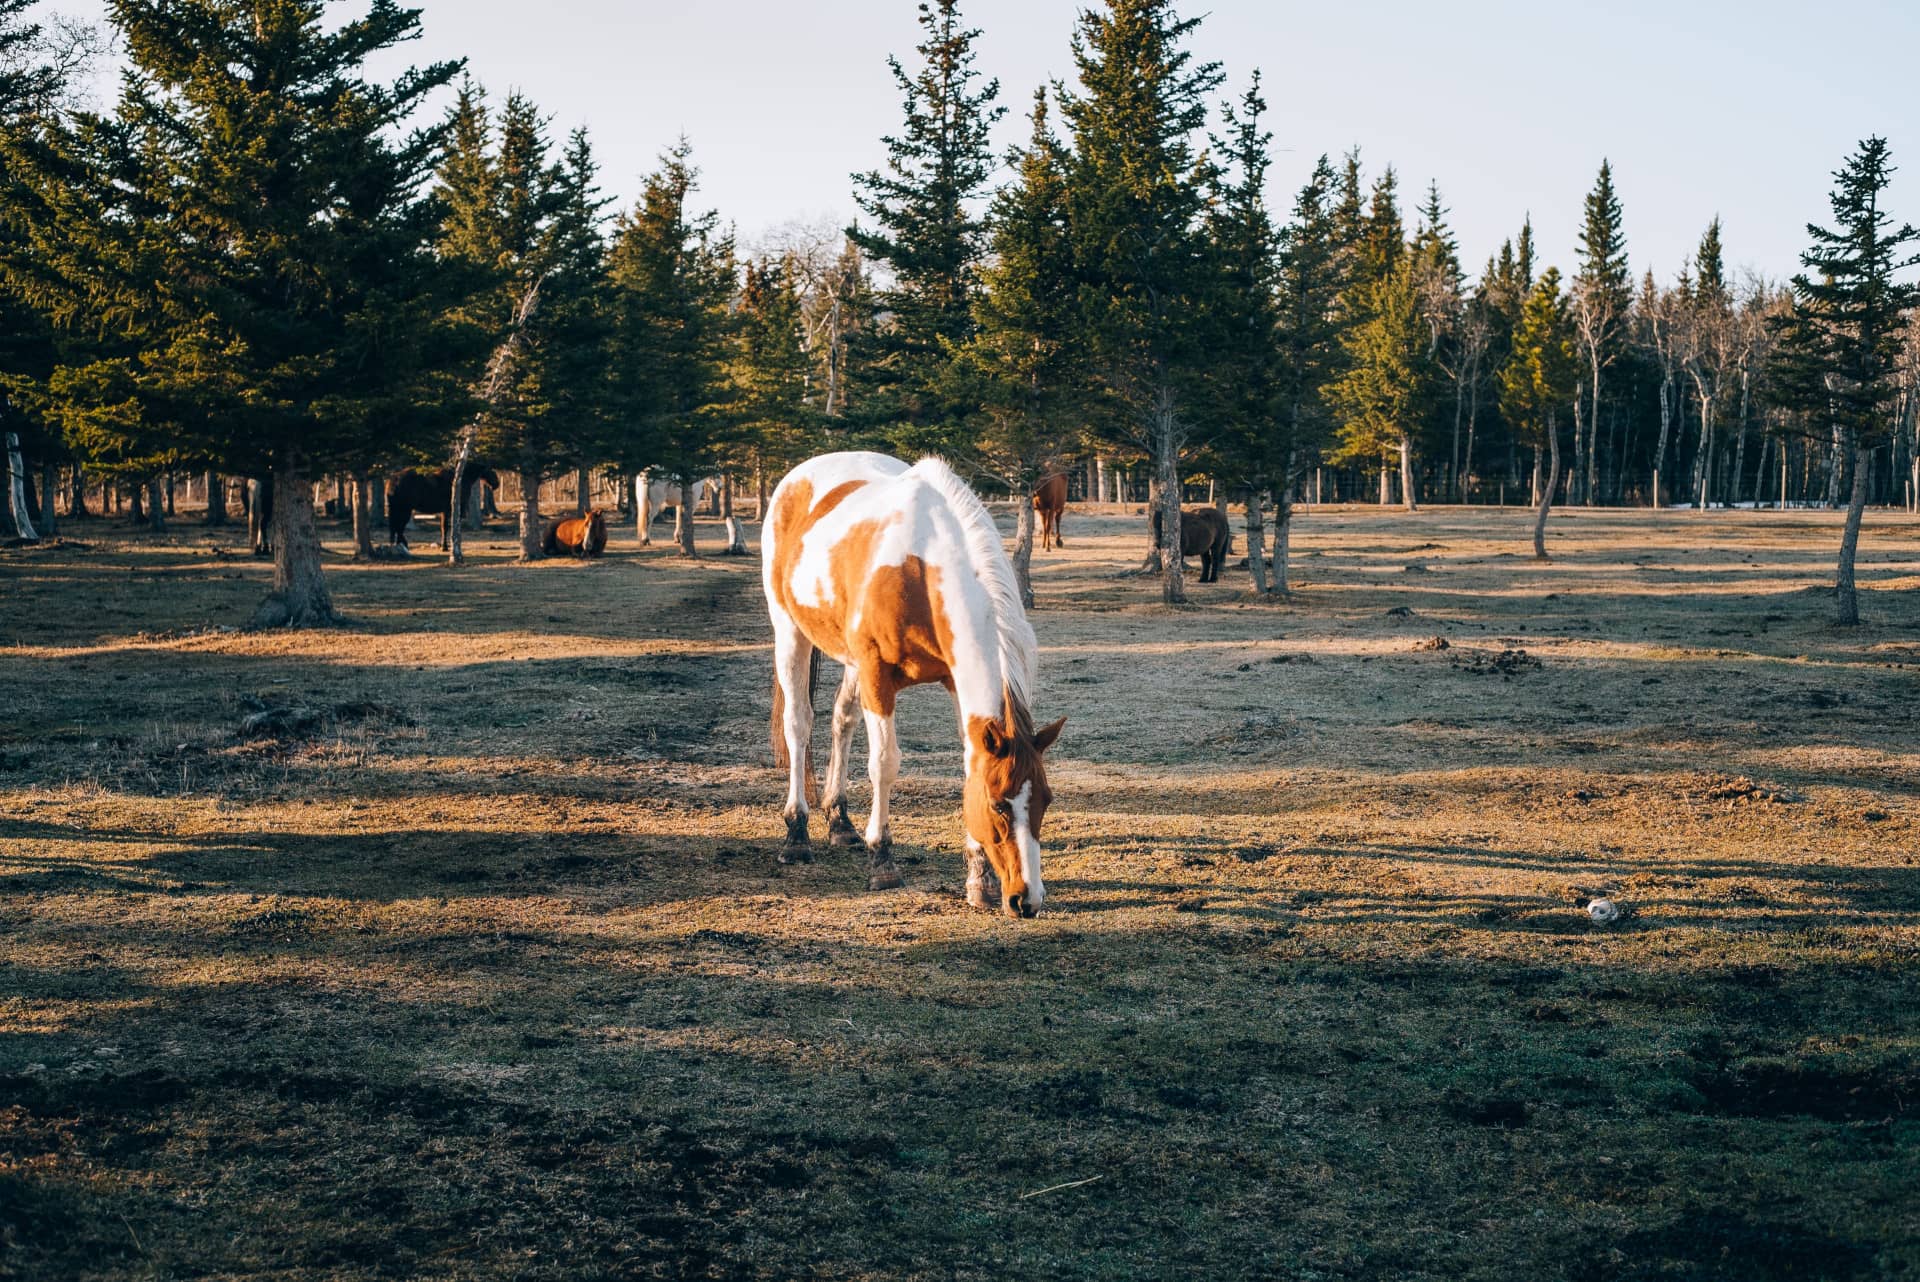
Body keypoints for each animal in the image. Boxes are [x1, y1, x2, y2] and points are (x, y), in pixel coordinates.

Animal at [760, 454, 1067, 917]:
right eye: (998, 803)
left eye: (1045, 800)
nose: (1026, 899)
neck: (921, 567)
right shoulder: (876, 674)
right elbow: (884, 763)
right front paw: (883, 862)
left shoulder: (955, 680)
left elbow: (968, 763)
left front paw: (980, 881)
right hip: (790, 631)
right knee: (799, 724)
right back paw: (796, 834)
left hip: (848, 659)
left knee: (841, 720)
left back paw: (840, 821)